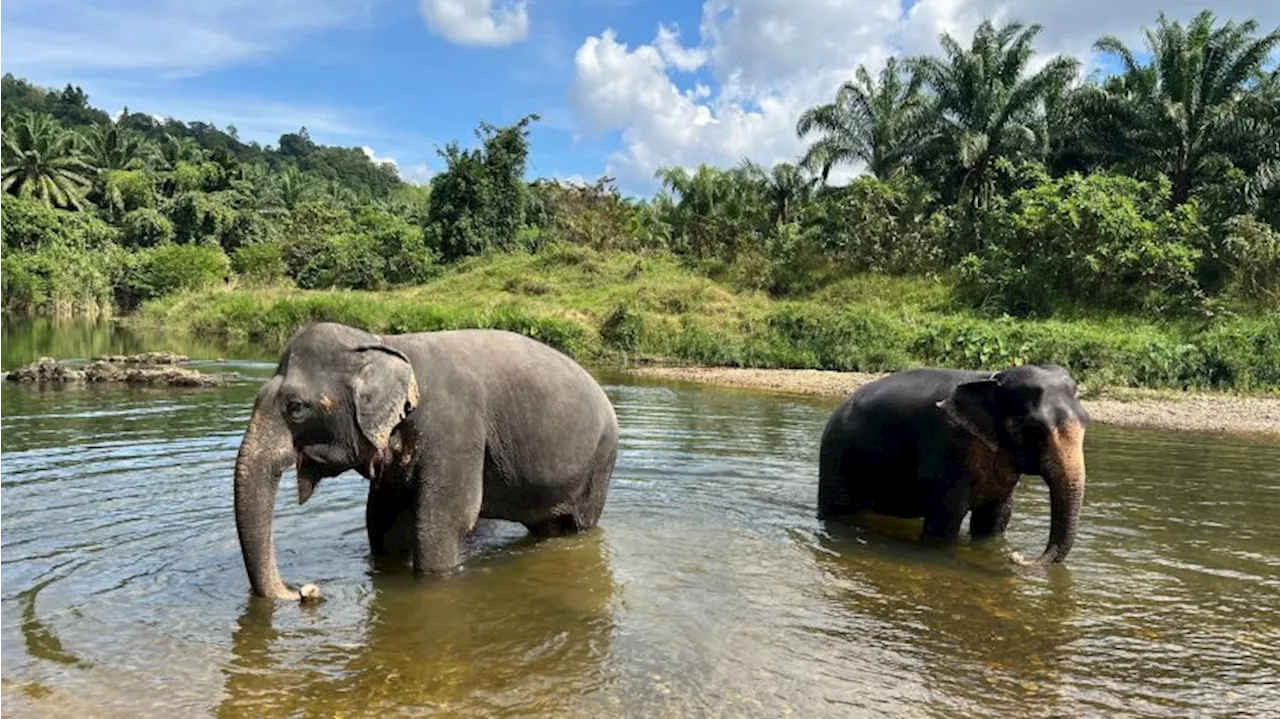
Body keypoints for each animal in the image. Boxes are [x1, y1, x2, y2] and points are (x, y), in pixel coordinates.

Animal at [239, 322, 624, 596]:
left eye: (296, 408)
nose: (304, 591)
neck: (383, 344)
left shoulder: (454, 431)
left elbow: (444, 522)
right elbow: (382, 520)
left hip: (599, 464)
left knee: (579, 525)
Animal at [819, 360, 1090, 562]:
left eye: (1086, 420)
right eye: (1030, 430)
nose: (1017, 556)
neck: (991, 378)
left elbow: (995, 520)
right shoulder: (947, 450)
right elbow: (946, 519)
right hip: (837, 460)